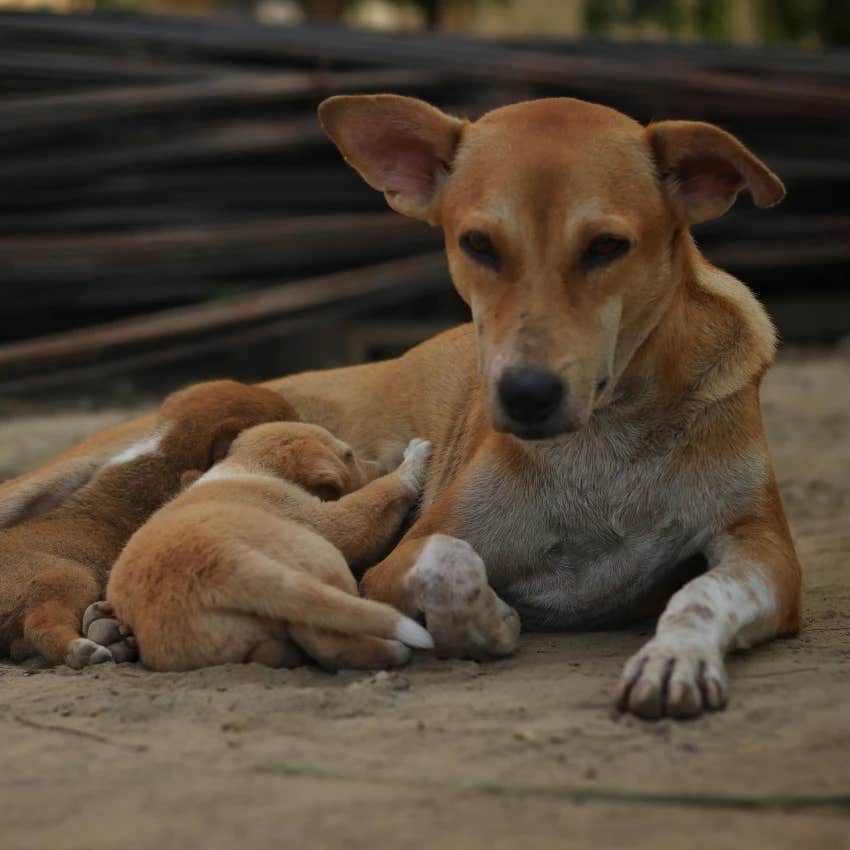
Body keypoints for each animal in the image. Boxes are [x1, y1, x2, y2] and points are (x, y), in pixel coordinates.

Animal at [103, 420, 434, 668]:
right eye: (349, 455)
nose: (381, 466)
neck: (250, 465)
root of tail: (225, 565)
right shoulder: (328, 518)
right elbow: (380, 494)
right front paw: (414, 457)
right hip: (323, 557)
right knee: (324, 638)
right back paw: (395, 650)